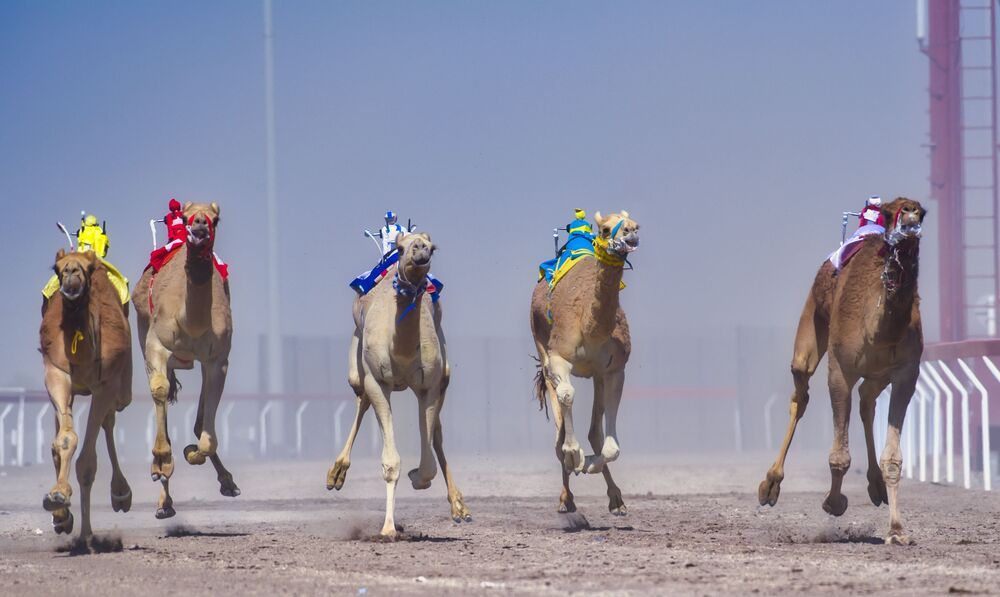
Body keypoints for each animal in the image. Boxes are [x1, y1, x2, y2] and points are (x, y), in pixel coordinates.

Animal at [39, 249, 133, 538]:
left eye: (88, 269)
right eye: (56, 268)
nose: (71, 272)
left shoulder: (106, 384)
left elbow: (88, 463)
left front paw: (86, 535)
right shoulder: (56, 374)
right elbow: (65, 439)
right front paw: (58, 497)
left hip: (121, 389)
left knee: (109, 421)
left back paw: (121, 494)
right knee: (58, 434)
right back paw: (61, 518)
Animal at [132, 201, 237, 519]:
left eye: (217, 218)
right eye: (188, 215)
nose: (201, 224)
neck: (190, 322)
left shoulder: (218, 358)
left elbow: (207, 434)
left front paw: (192, 452)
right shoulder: (155, 344)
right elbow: (159, 390)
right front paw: (161, 463)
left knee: (201, 418)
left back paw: (227, 482)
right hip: (144, 334)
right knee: (163, 393)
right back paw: (164, 501)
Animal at [326, 231, 470, 538]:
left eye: (432, 247)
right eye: (401, 248)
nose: (420, 250)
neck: (401, 351)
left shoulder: (430, 386)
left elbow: (427, 463)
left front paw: (418, 478)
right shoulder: (378, 381)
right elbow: (391, 462)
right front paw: (389, 528)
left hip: (444, 373)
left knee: (437, 432)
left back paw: (459, 507)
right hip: (357, 364)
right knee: (361, 400)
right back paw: (336, 474)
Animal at [530, 211, 640, 515]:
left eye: (636, 225)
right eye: (605, 229)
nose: (629, 233)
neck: (590, 327)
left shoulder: (615, 369)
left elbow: (610, 447)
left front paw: (588, 463)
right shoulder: (559, 357)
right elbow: (567, 395)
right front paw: (574, 456)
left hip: (596, 375)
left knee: (594, 432)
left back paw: (615, 498)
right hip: (542, 350)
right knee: (558, 426)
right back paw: (566, 497)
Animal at [758, 197, 926, 544]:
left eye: (923, 213)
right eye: (892, 212)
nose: (910, 217)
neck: (877, 328)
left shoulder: (906, 373)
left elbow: (893, 458)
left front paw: (897, 530)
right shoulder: (839, 369)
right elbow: (839, 456)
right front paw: (833, 504)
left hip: (877, 374)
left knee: (866, 400)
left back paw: (876, 487)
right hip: (811, 326)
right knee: (800, 394)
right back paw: (770, 486)